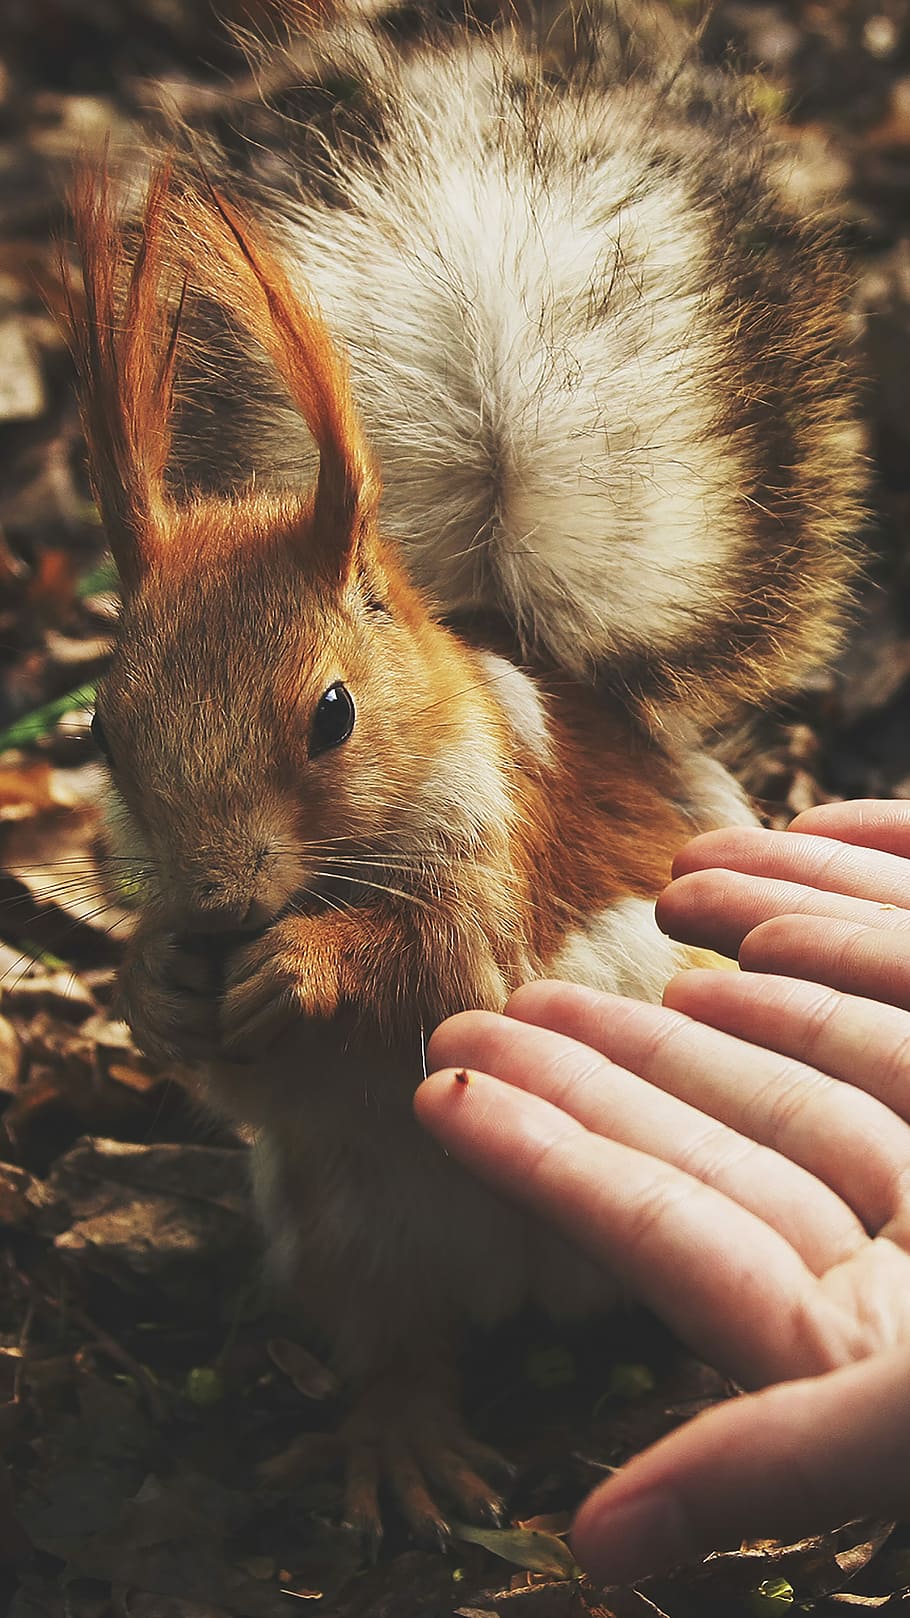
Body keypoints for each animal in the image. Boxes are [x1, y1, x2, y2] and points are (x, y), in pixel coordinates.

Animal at [64, 0, 863, 1548]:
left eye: (331, 712)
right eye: (99, 731)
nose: (214, 905)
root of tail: (530, 1283)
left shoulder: (507, 843)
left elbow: (452, 960)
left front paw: (304, 961)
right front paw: (157, 981)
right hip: (351, 1228)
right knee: (398, 1341)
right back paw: (401, 1441)